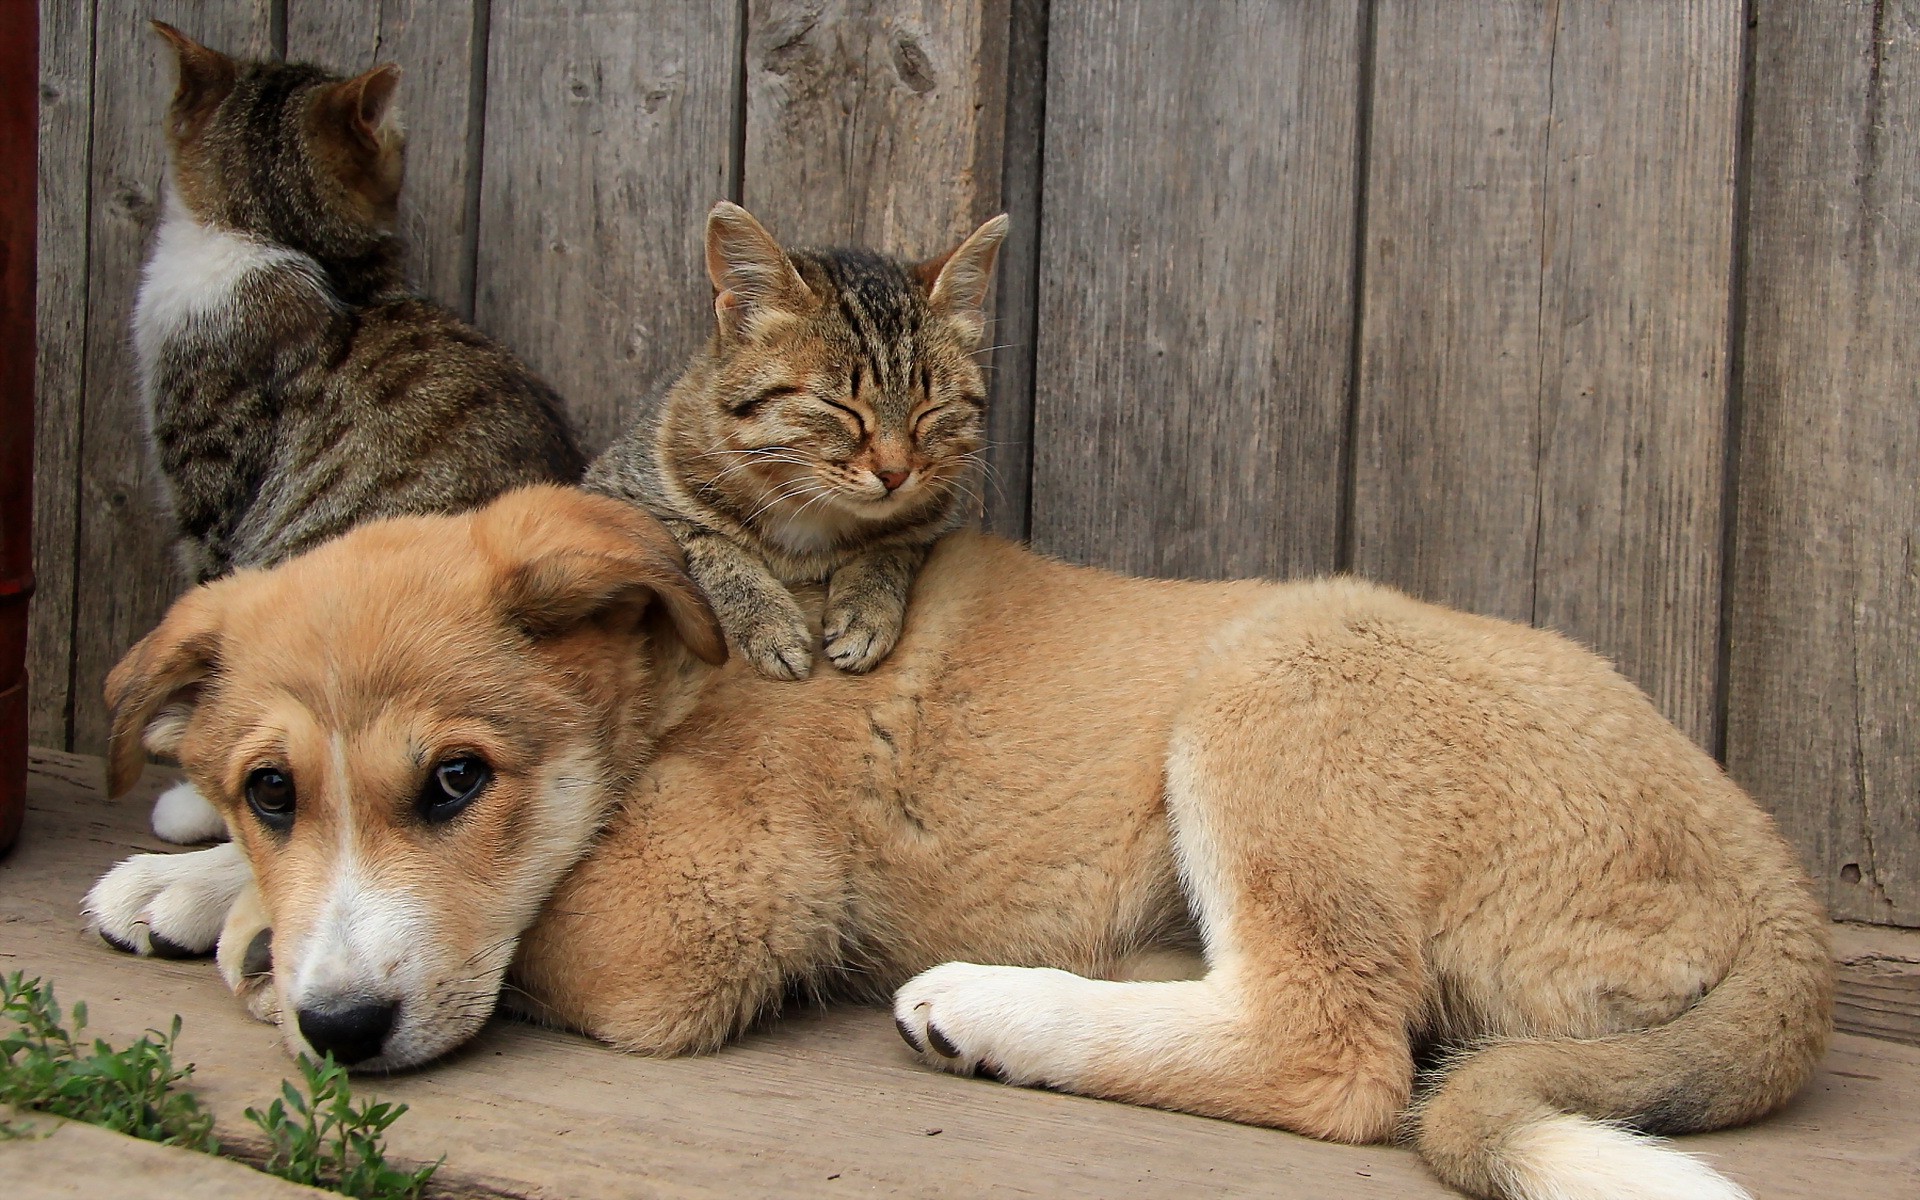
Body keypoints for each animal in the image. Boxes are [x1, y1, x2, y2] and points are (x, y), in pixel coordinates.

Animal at [90, 487, 1827, 1198]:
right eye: (271, 793)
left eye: (457, 782)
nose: (342, 1030)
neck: (666, 680)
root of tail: (1784, 894)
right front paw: (189, 879)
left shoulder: (696, 915)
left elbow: (528, 932)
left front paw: (250, 946)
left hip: (1280, 666)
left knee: (1332, 1052)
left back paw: (993, 1010)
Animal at [587, 201, 1013, 679]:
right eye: (839, 406)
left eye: (929, 410)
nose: (895, 474)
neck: (809, 513)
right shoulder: (610, 494)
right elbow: (704, 544)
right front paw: (768, 622)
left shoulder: (930, 524)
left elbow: (890, 548)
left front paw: (867, 608)